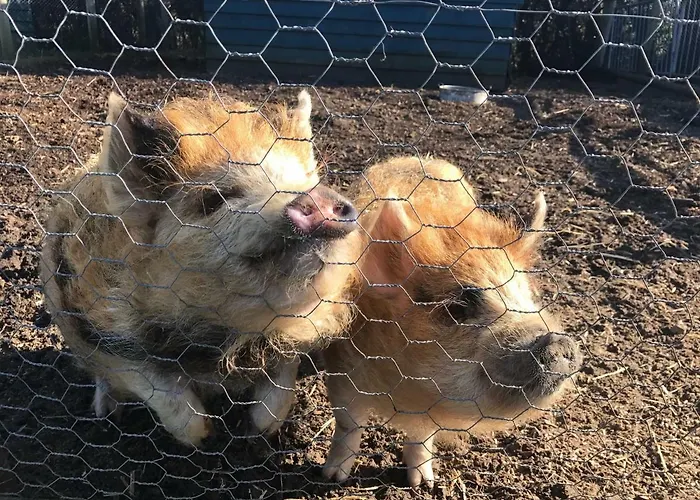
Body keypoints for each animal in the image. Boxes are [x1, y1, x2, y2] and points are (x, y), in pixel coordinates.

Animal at [39, 90, 360, 447]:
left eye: (304, 181)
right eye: (215, 199)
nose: (316, 197)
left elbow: (281, 383)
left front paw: (255, 430)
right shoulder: (108, 340)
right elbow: (163, 392)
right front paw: (208, 435)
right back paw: (106, 413)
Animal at [321, 156, 583, 487]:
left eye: (527, 295)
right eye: (459, 308)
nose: (559, 341)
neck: (404, 392)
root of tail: (416, 157)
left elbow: (422, 436)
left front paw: (423, 484)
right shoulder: (342, 367)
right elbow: (348, 424)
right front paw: (332, 478)